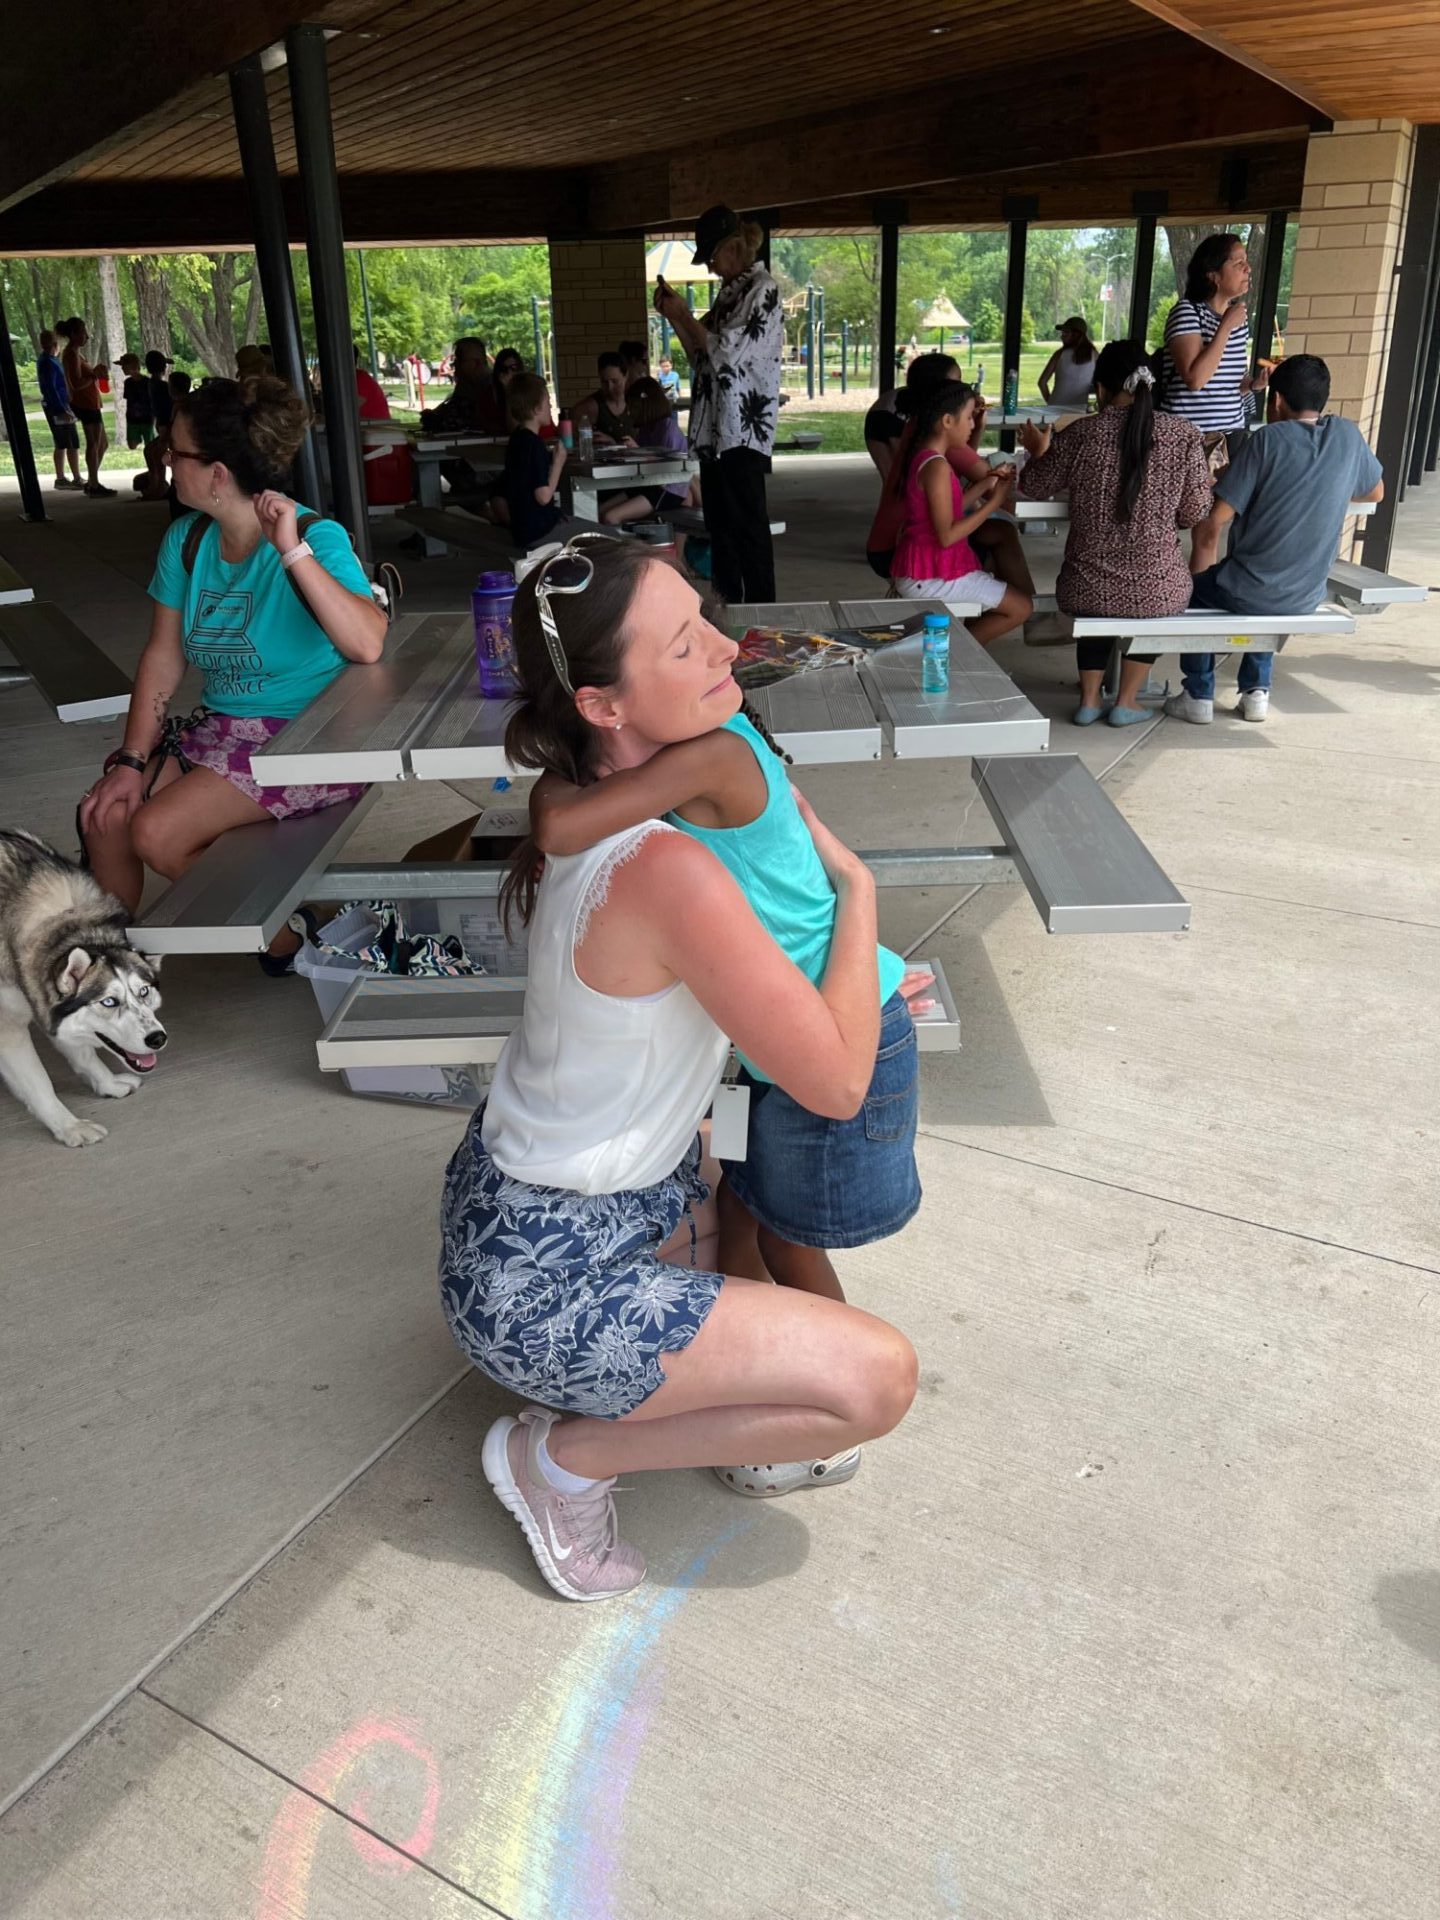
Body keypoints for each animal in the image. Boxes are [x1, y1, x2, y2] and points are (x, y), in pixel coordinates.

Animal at [0, 829, 166, 1144]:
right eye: (109, 1002)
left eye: (144, 992)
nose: (157, 1039)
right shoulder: (8, 1028)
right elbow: (39, 1082)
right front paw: (70, 1127)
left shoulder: (42, 1000)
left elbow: (83, 1052)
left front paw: (108, 1084)